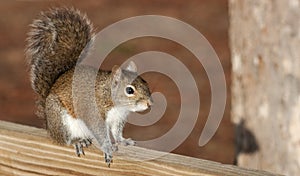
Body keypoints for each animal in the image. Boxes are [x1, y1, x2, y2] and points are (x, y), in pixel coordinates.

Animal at [25, 7, 152, 166]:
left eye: (146, 83)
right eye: (129, 90)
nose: (149, 103)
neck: (109, 96)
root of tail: (49, 125)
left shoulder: (118, 119)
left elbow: (116, 132)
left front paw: (123, 141)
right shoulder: (94, 113)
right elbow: (100, 132)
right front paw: (108, 147)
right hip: (60, 120)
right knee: (63, 140)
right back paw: (77, 141)